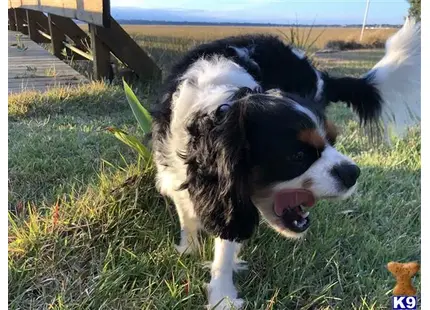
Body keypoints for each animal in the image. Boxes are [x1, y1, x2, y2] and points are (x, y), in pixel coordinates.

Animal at [150, 18, 420, 308]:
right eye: (297, 156)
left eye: (332, 140)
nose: (353, 173)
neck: (218, 106)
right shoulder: (174, 172)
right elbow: (187, 216)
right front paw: (190, 249)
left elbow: (226, 242)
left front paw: (222, 294)